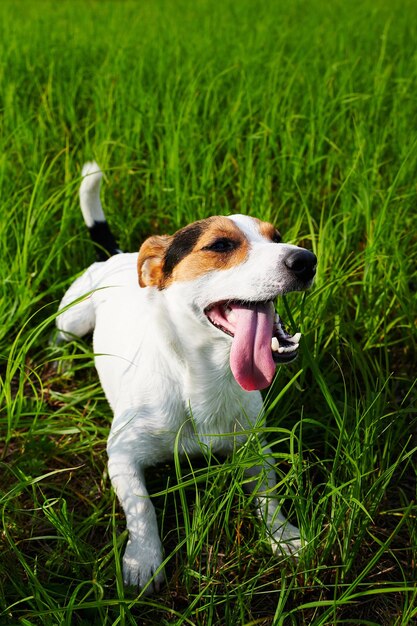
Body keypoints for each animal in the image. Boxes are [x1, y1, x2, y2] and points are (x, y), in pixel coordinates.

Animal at [55, 161, 316, 588]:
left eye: (277, 237)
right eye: (220, 245)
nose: (306, 259)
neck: (200, 378)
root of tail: (119, 255)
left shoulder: (254, 447)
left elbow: (268, 497)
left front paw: (283, 535)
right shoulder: (121, 455)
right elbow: (142, 509)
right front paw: (143, 558)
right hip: (73, 317)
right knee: (58, 334)